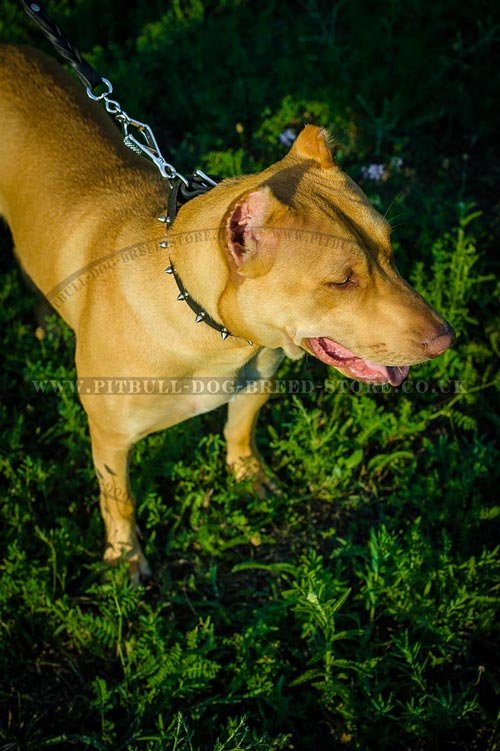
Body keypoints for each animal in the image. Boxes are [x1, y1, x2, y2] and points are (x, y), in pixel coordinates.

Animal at [0, 45, 454, 580]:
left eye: (391, 250)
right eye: (341, 281)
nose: (446, 339)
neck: (204, 328)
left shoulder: (256, 381)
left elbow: (239, 429)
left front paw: (250, 475)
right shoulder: (110, 438)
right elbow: (120, 500)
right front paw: (125, 557)